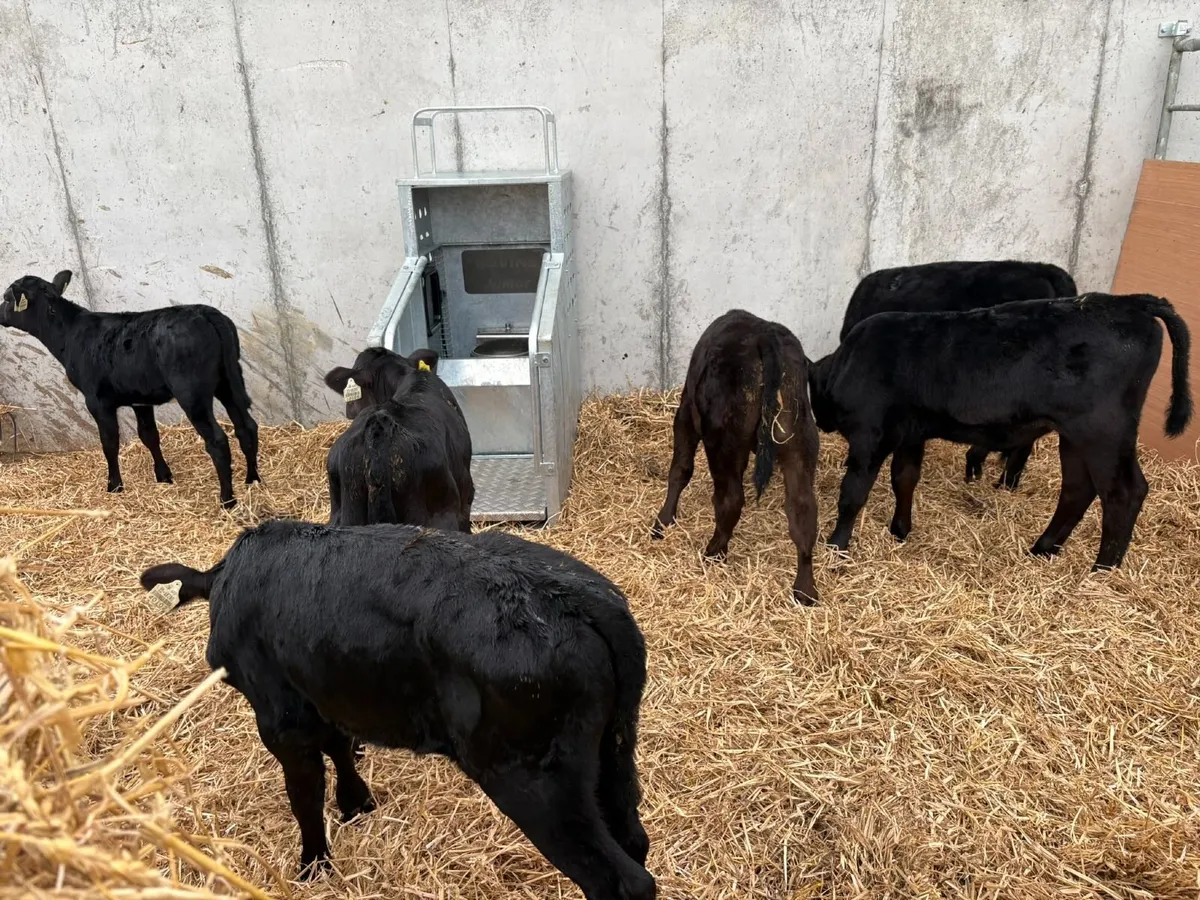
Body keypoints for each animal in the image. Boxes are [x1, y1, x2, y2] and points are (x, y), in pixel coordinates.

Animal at [0, 270, 259, 508]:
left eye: (6, 297)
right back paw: (252, 480)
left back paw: (227, 500)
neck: (69, 335)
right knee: (246, 426)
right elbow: (149, 435)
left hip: (192, 392)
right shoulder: (140, 400)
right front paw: (163, 476)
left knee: (217, 440)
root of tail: (206, 313)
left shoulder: (97, 401)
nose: (0, 313)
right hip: (229, 381)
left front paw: (114, 486)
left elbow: (109, 442)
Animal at [140, 519, 655, 900]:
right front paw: (355, 803)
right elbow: (340, 746)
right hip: (611, 753)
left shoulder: (282, 718)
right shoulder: (328, 692)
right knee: (634, 840)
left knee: (623, 881)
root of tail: (574, 595)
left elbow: (305, 794)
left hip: (533, 776)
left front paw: (313, 865)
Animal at [652, 309, 820, 605]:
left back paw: (713, 552)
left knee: (730, 500)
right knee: (802, 509)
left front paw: (664, 521)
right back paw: (804, 590)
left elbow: (680, 469)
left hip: (723, 440)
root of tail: (764, 335)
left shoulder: (685, 414)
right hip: (799, 440)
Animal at [809, 293, 1192, 570]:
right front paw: (900, 531)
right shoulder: (911, 434)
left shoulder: (870, 435)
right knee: (1078, 489)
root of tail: (1131, 302)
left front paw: (836, 545)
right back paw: (1043, 549)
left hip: (1103, 432)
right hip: (1074, 437)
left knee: (1123, 493)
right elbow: (904, 478)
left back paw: (1102, 571)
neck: (847, 365)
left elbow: (853, 493)